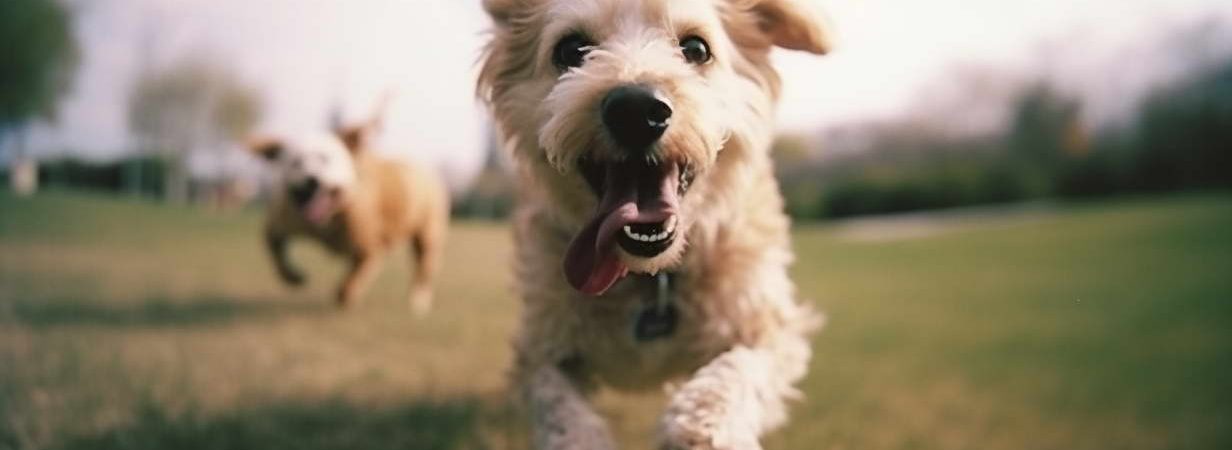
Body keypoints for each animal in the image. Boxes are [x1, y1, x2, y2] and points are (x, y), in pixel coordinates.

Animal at [248, 122, 448, 311]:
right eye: (296, 162)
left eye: (325, 159)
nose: (312, 179)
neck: (328, 217)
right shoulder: (283, 221)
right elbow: (275, 248)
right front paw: (293, 276)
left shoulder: (368, 248)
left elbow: (350, 282)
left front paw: (346, 296)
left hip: (427, 234)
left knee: (423, 269)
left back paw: (418, 300)